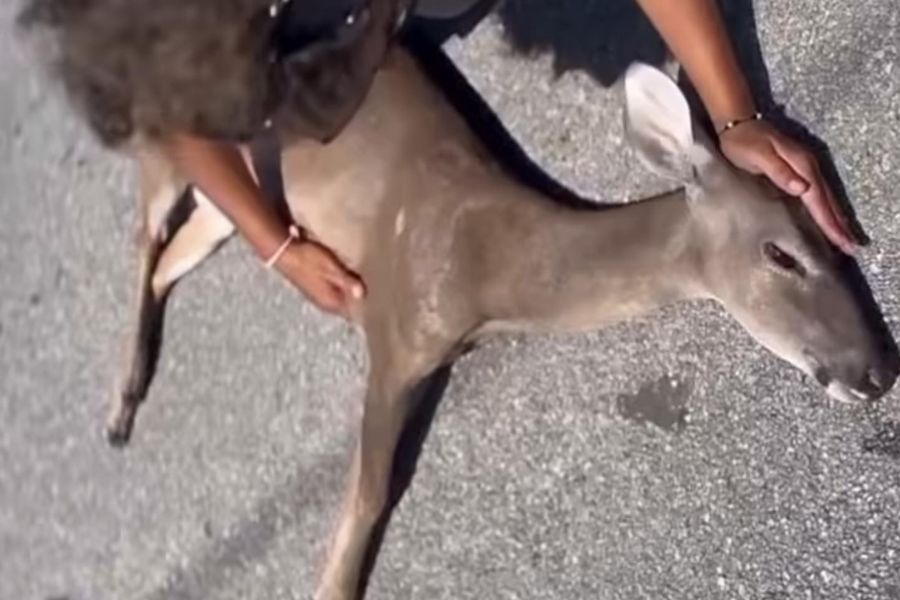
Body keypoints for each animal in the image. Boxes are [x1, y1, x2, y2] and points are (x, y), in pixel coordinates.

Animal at [102, 36, 897, 600]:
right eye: (782, 254)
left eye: (836, 240)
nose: (878, 369)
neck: (491, 267)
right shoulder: (394, 324)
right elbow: (371, 490)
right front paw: (332, 585)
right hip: (174, 146)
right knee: (148, 228)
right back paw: (118, 408)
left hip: (236, 205)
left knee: (181, 244)